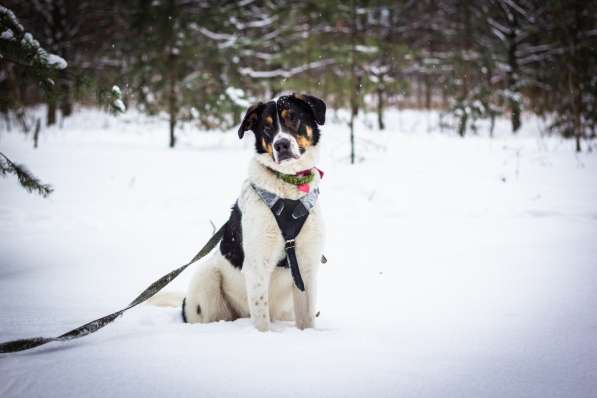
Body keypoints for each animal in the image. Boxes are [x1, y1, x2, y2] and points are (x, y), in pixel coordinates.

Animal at [149, 92, 326, 330]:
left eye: (293, 118)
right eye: (267, 127)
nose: (281, 145)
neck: (288, 189)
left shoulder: (307, 267)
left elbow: (306, 320)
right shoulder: (257, 267)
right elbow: (261, 322)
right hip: (207, 277)